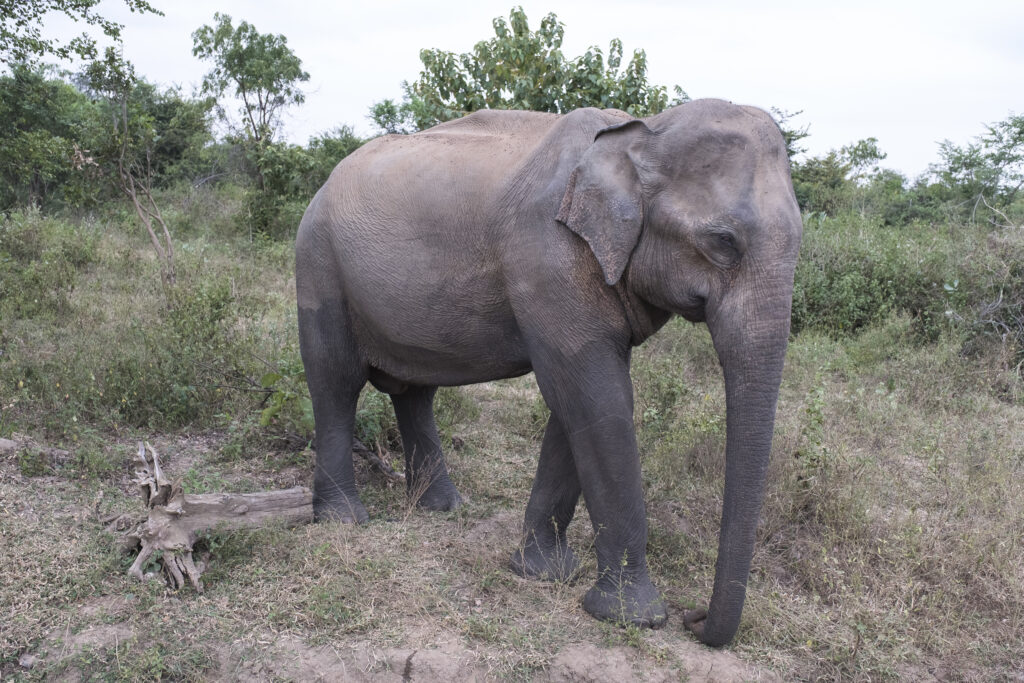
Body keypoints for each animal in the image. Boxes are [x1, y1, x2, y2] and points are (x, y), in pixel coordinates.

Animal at [295, 98, 801, 647]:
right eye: (723, 242)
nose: (697, 618)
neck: (641, 132)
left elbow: (577, 401)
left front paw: (541, 573)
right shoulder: (548, 258)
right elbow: (597, 397)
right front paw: (633, 617)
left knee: (414, 392)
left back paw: (443, 508)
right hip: (318, 263)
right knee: (335, 383)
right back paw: (345, 520)